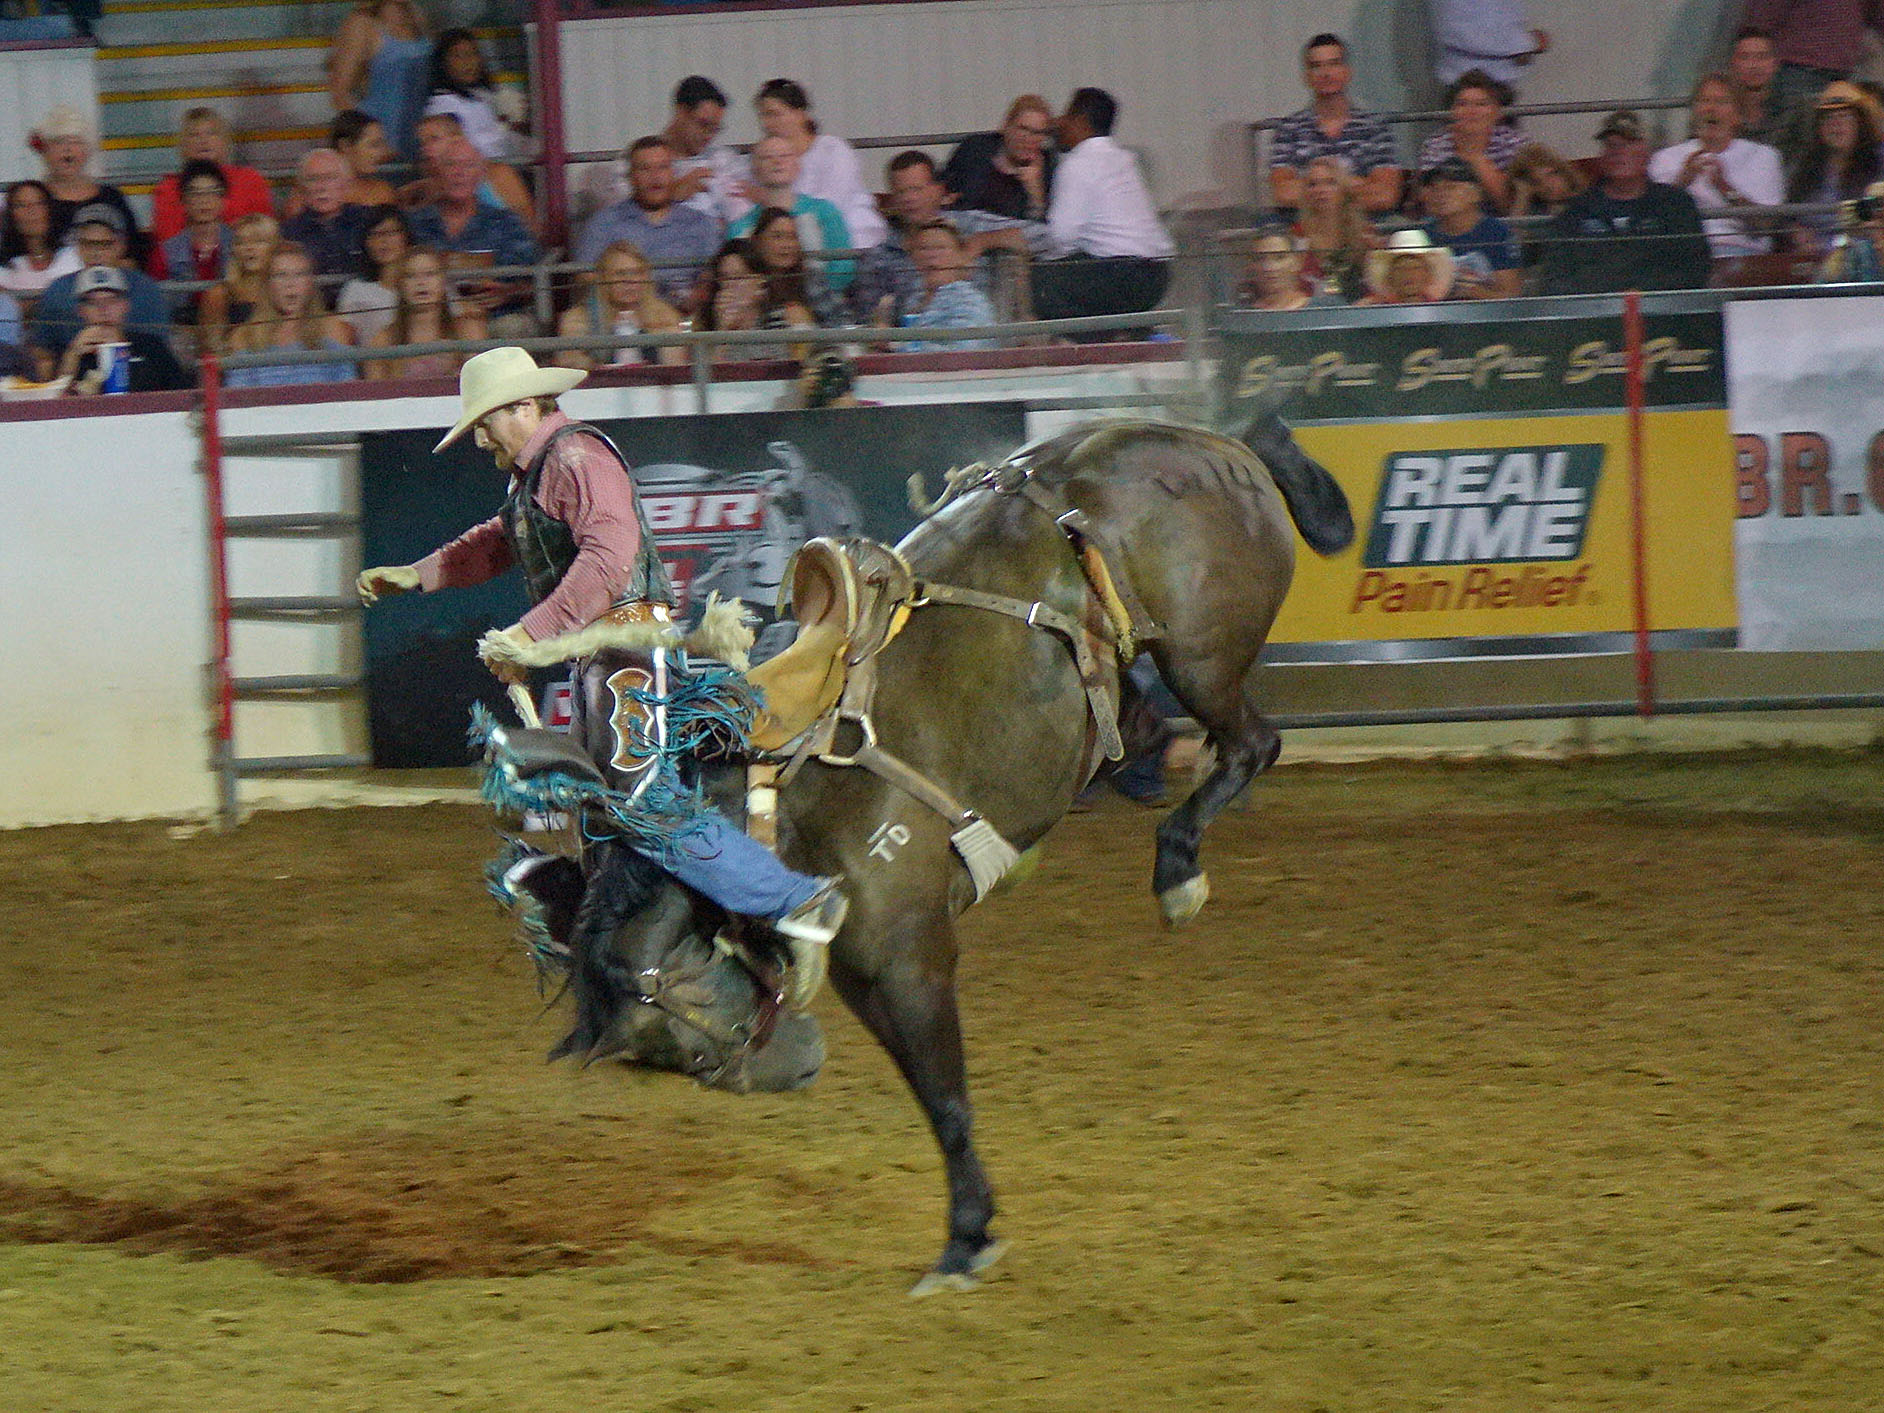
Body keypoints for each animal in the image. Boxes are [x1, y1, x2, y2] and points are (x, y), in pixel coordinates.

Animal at [484, 410, 1354, 1294]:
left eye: (684, 1035)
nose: (794, 1068)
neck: (767, 812)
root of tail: (1212, 441)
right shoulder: (866, 977)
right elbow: (928, 1092)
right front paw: (971, 1227)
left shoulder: (908, 957)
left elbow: (946, 1096)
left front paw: (965, 1241)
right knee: (1145, 728)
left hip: (1201, 657)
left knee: (1252, 743)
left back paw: (1179, 870)